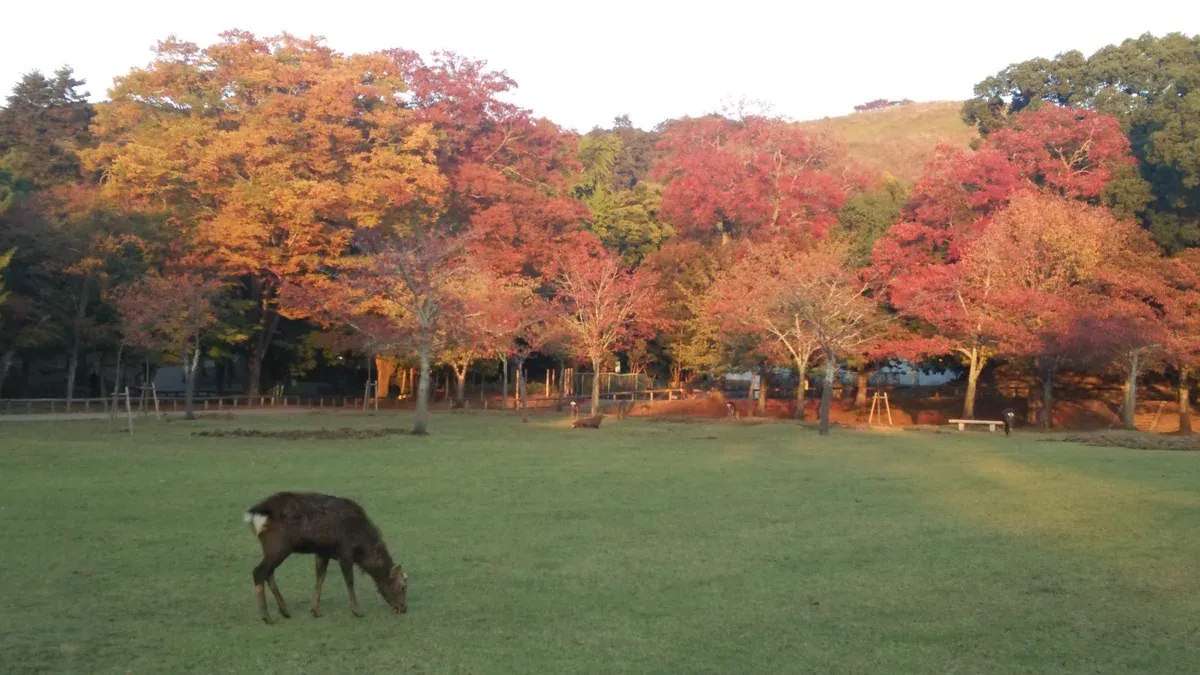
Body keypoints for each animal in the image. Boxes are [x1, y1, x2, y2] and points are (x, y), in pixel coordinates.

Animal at [244, 491, 407, 624]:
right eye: (403, 587)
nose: (403, 608)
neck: (361, 547)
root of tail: (254, 515)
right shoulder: (344, 551)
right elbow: (349, 580)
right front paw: (357, 611)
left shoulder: (323, 552)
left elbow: (320, 578)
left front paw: (315, 610)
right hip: (278, 547)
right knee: (259, 572)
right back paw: (267, 617)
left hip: (272, 550)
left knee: (268, 573)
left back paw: (284, 611)